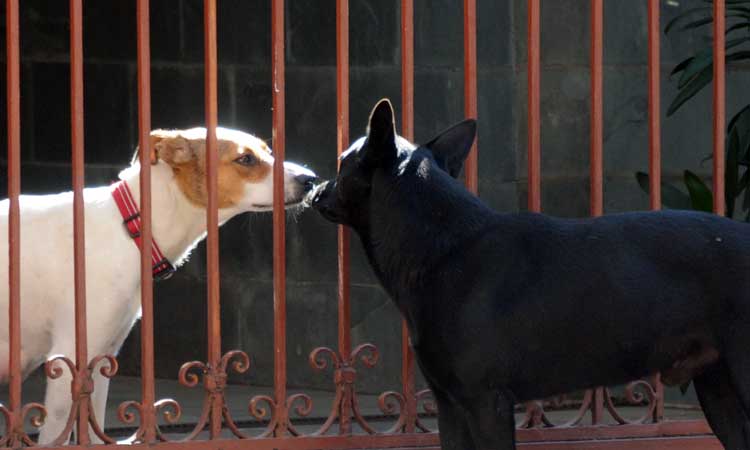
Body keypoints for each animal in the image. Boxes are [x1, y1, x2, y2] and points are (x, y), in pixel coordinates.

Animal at [0, 126, 316, 442]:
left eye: (268, 151)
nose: (310, 179)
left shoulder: (99, 362)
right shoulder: (69, 362)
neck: (132, 227)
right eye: (245, 159)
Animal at [312, 99, 750, 450]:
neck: (441, 245)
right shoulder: (450, 407)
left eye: (342, 164)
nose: (316, 188)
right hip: (719, 391)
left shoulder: (486, 402)